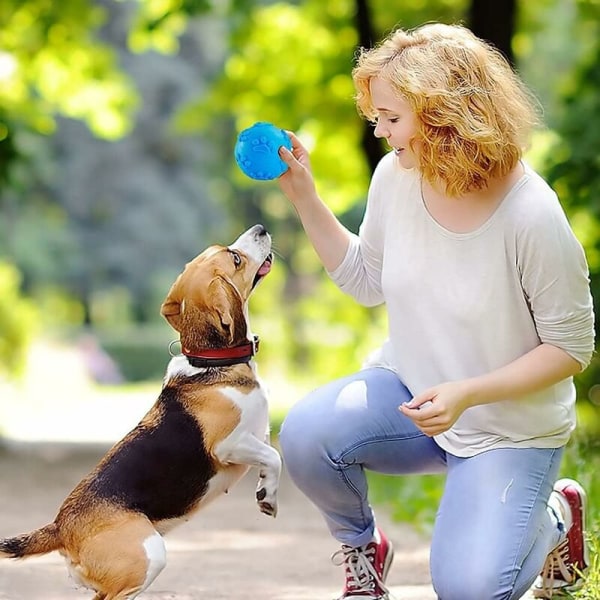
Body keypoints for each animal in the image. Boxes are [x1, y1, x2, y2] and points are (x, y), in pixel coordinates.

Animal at [0, 224, 282, 600]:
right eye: (235, 258)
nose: (261, 229)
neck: (211, 362)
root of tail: (61, 526)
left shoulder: (257, 437)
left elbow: (270, 458)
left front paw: (266, 492)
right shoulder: (229, 445)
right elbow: (274, 456)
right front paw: (269, 498)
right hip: (149, 554)